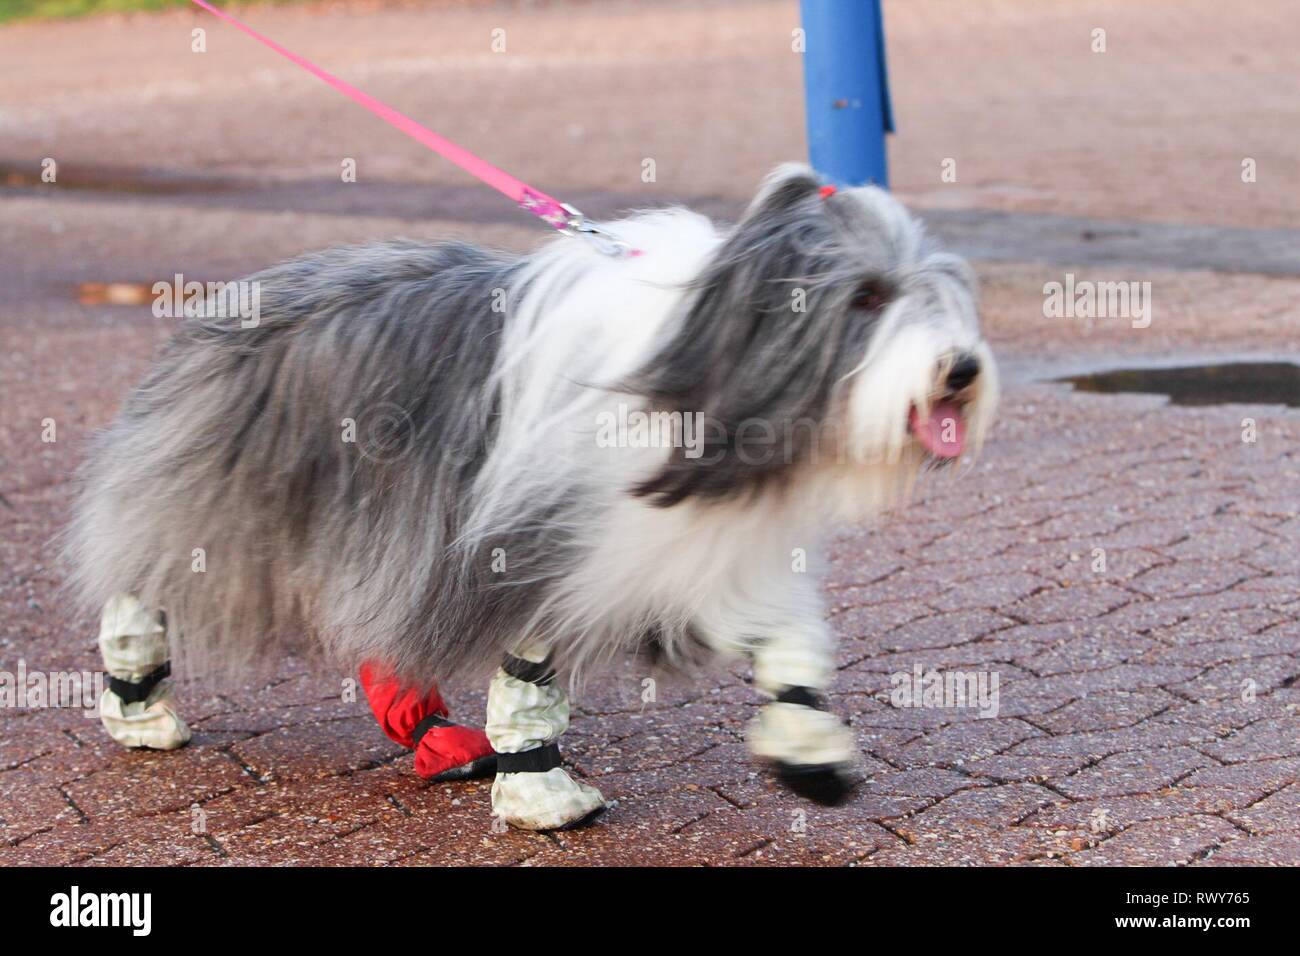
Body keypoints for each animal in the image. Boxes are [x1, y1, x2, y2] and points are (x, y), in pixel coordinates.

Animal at [68, 164, 993, 832]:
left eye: (933, 287)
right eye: (866, 296)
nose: (962, 369)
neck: (700, 368)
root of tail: (233, 300)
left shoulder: (693, 539)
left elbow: (787, 636)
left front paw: (811, 750)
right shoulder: (541, 542)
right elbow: (529, 676)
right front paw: (544, 797)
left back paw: (425, 726)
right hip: (233, 496)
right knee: (148, 578)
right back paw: (138, 701)